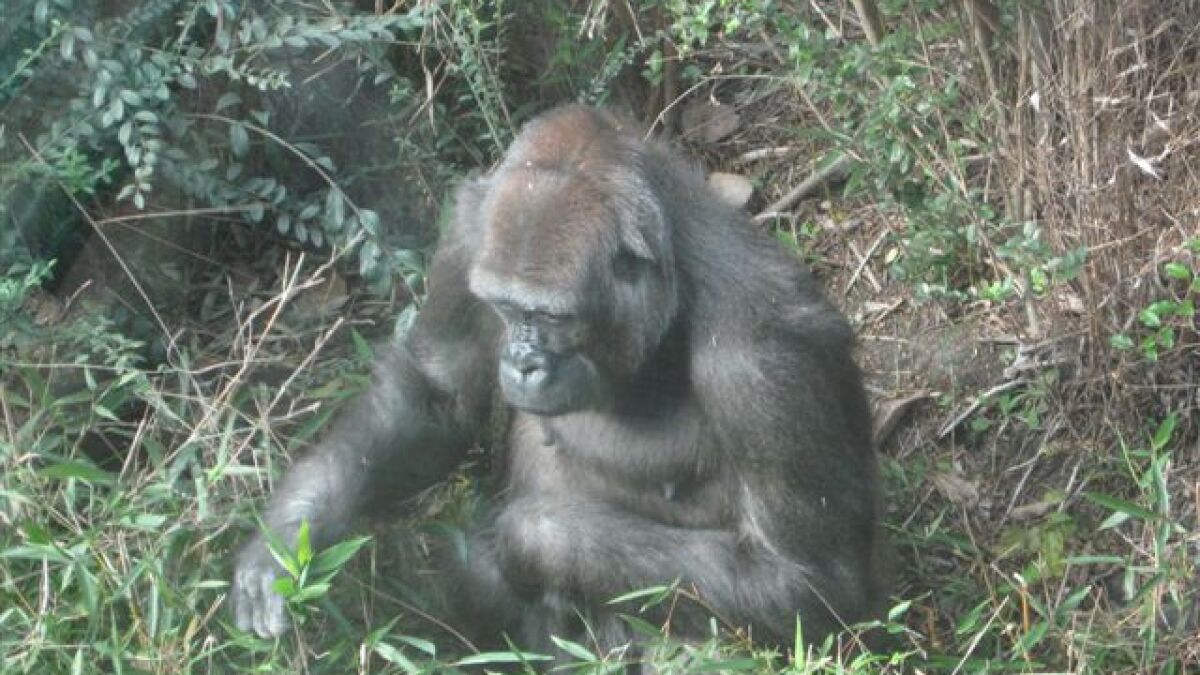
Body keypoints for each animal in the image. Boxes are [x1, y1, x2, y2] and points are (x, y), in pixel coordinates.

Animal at [231, 105, 884, 658]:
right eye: (504, 307)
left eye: (550, 317)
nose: (523, 362)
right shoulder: (469, 231)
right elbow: (435, 394)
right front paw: (288, 537)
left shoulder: (764, 357)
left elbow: (805, 583)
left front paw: (522, 538)